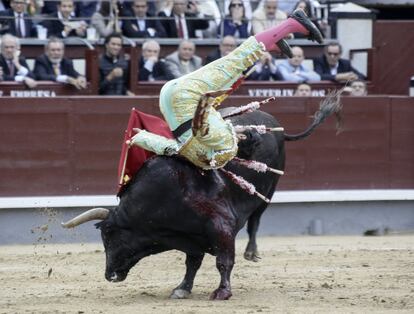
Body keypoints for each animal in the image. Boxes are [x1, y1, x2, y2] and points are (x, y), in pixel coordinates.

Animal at [61, 97, 340, 300]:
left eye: (108, 234)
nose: (109, 275)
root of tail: (272, 122)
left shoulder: (220, 226)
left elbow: (224, 261)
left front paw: (222, 292)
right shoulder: (191, 237)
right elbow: (192, 263)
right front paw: (182, 288)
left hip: (269, 190)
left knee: (256, 219)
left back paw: (252, 252)